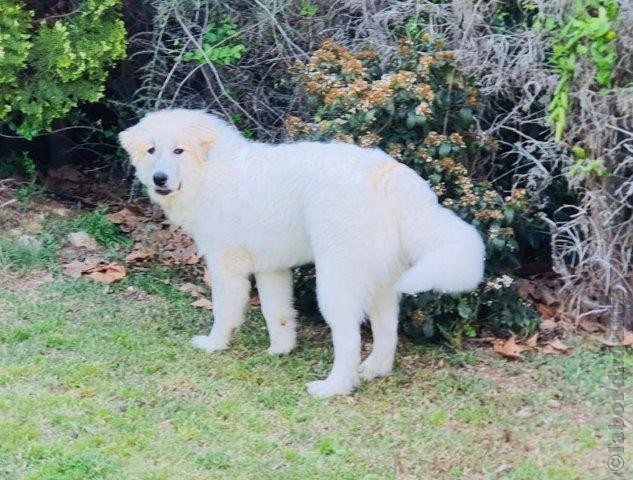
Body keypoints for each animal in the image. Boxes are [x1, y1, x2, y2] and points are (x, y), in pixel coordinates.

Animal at [118, 109, 484, 398]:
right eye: (152, 150)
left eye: (178, 150)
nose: (159, 178)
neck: (210, 172)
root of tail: (387, 173)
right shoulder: (271, 268)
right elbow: (276, 312)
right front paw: (281, 349)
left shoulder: (226, 266)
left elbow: (224, 312)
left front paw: (214, 345)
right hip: (381, 280)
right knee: (387, 330)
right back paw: (374, 370)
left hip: (336, 279)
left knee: (348, 338)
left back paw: (333, 387)